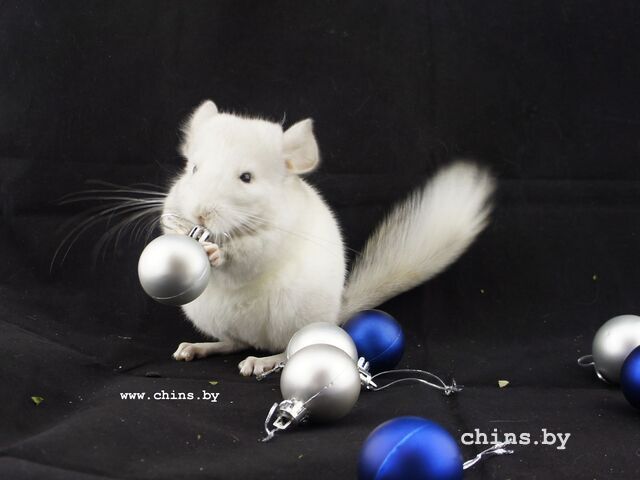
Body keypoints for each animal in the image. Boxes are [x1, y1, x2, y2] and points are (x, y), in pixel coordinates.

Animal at [162, 100, 495, 376]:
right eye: (193, 169)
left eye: (246, 178)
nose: (200, 214)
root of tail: (335, 314)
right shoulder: (173, 200)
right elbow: (167, 220)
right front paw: (178, 230)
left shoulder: (276, 238)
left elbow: (249, 255)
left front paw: (218, 253)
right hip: (208, 314)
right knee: (234, 343)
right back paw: (196, 348)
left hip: (295, 315)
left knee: (287, 349)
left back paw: (261, 362)